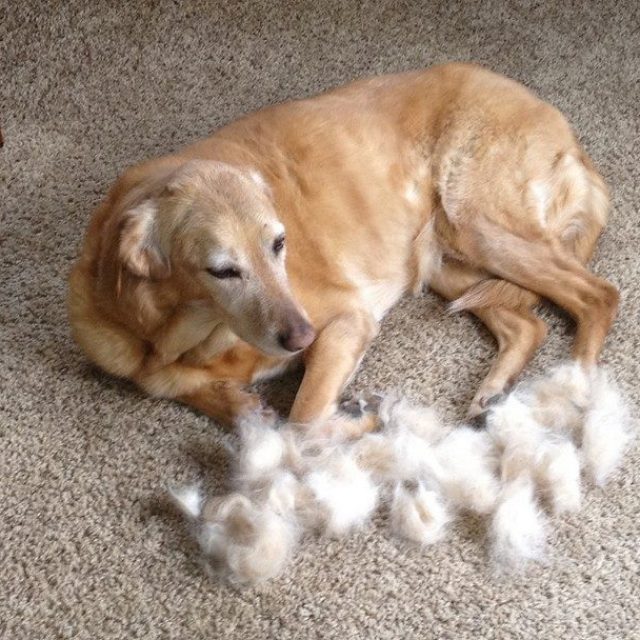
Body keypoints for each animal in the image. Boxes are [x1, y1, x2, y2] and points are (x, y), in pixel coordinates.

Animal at [68, 62, 618, 428]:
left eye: (280, 244)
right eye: (221, 270)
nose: (300, 338)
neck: (189, 337)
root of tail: (571, 136)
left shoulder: (346, 320)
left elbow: (303, 420)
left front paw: (365, 417)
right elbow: (216, 401)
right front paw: (243, 407)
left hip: (481, 223)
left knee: (597, 296)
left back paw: (575, 391)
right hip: (446, 261)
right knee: (528, 324)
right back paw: (494, 392)